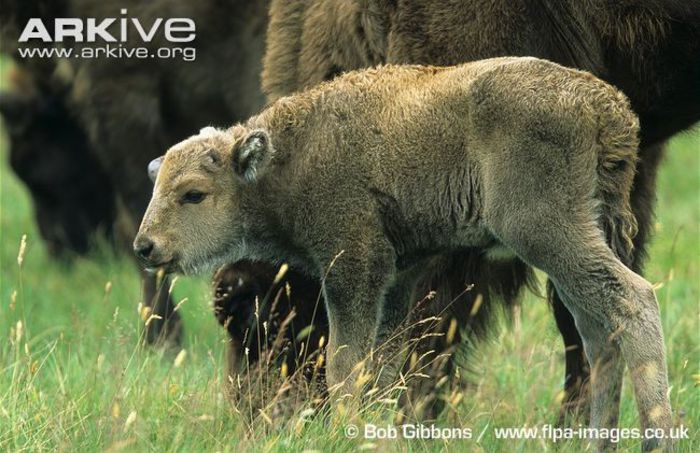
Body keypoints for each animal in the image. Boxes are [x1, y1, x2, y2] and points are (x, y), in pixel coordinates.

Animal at [135, 58, 672, 450]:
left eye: (193, 193)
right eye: (156, 186)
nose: (146, 245)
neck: (288, 157)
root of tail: (608, 109)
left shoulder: (353, 267)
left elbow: (345, 365)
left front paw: (345, 432)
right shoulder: (398, 277)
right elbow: (384, 365)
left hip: (548, 234)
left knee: (634, 300)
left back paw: (656, 439)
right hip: (579, 242)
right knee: (599, 333)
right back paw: (600, 442)